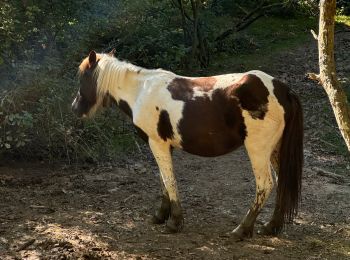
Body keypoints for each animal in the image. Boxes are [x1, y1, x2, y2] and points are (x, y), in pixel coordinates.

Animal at [72, 50, 304, 240]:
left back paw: (241, 229)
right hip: (275, 150)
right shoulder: (164, 146)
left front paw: (174, 222)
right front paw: (160, 215)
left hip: (258, 150)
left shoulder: (157, 144)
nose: (75, 109)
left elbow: (169, 181)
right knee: (282, 181)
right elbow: (163, 180)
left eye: (83, 77)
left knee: (265, 185)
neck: (140, 91)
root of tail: (283, 90)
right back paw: (271, 227)